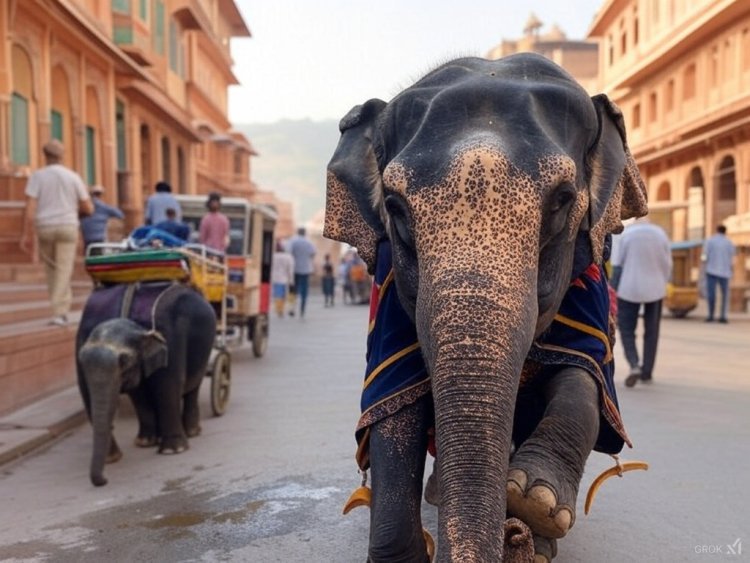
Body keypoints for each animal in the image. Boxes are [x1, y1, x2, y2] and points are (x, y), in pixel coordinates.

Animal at [76, 284, 216, 486]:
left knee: (192, 389)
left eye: (124, 361)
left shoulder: (169, 339)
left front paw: (173, 451)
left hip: (205, 350)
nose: (104, 481)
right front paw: (142, 444)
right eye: (80, 359)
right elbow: (138, 395)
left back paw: (192, 432)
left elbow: (167, 388)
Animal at [326, 51, 648, 560]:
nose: (512, 534)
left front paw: (537, 501)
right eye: (394, 207)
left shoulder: (591, 286)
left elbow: (588, 374)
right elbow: (392, 399)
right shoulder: (388, 290)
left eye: (562, 200)